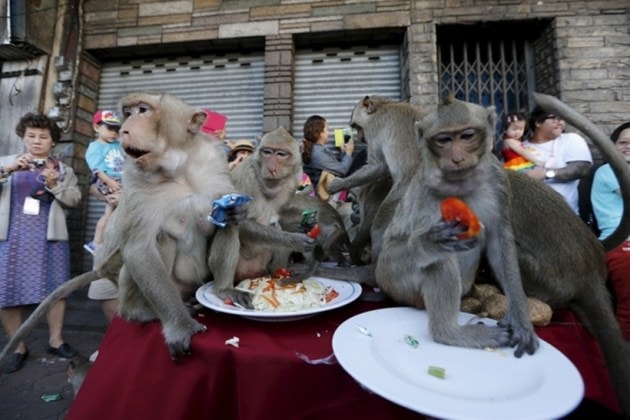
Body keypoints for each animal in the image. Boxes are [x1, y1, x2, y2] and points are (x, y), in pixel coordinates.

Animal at [0, 92, 249, 368]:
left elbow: (225, 223)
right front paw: (180, 327)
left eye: (143, 110)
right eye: (128, 113)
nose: (124, 129)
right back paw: (139, 312)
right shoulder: (136, 180)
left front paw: (224, 289)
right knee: (159, 240)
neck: (179, 170)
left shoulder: (214, 165)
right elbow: (139, 248)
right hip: (136, 278)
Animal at [230, 125, 318, 282]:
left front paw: (307, 225)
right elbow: (242, 223)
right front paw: (295, 240)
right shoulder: (245, 178)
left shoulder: (295, 177)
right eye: (267, 152)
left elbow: (281, 214)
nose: (271, 168)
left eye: (281, 154)